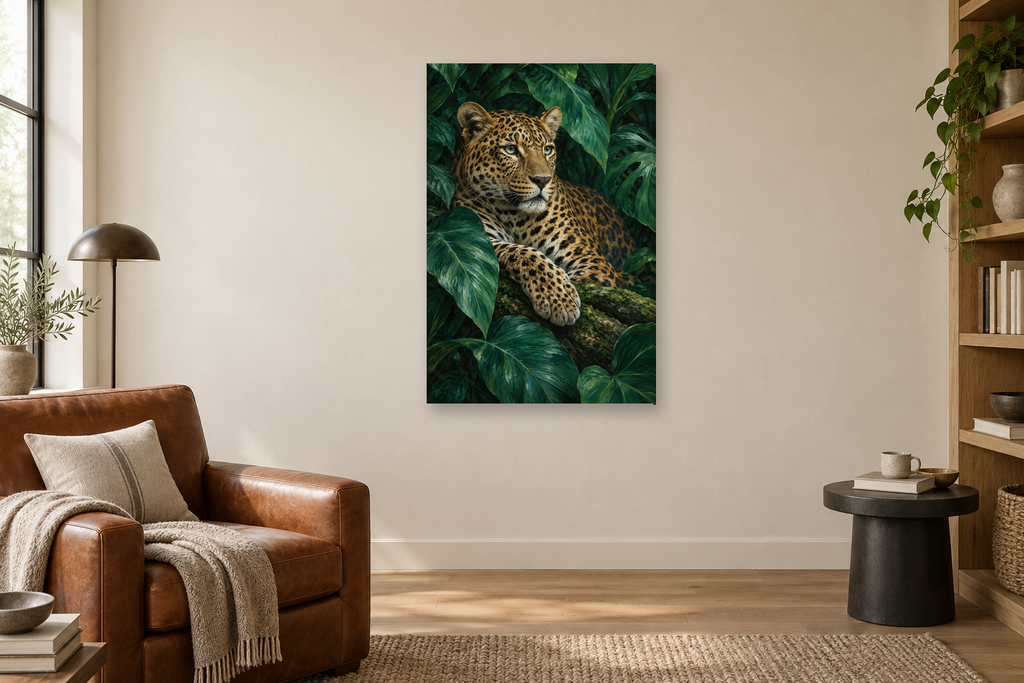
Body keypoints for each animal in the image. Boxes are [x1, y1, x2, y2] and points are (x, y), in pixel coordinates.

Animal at [452, 102, 636, 327]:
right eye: (511, 149)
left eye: (547, 150)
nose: (542, 180)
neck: (515, 215)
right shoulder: (475, 237)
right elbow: (524, 254)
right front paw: (558, 296)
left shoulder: (592, 261)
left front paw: (559, 297)